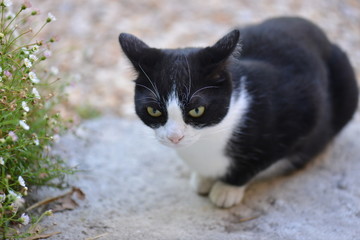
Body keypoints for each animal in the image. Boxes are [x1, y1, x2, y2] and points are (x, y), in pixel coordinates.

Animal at [118, 16, 358, 208]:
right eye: (153, 110)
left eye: (197, 110)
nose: (174, 137)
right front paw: (204, 178)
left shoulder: (304, 110)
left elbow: (259, 161)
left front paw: (227, 189)